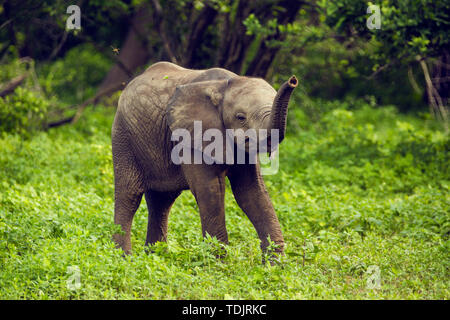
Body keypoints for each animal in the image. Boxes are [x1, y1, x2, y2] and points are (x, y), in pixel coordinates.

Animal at [111, 62, 298, 258]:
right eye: (240, 117)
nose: (293, 80)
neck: (224, 86)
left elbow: (251, 191)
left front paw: (273, 265)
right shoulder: (191, 136)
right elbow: (210, 190)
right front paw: (218, 262)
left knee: (161, 201)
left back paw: (155, 257)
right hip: (123, 136)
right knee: (130, 195)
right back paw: (124, 258)